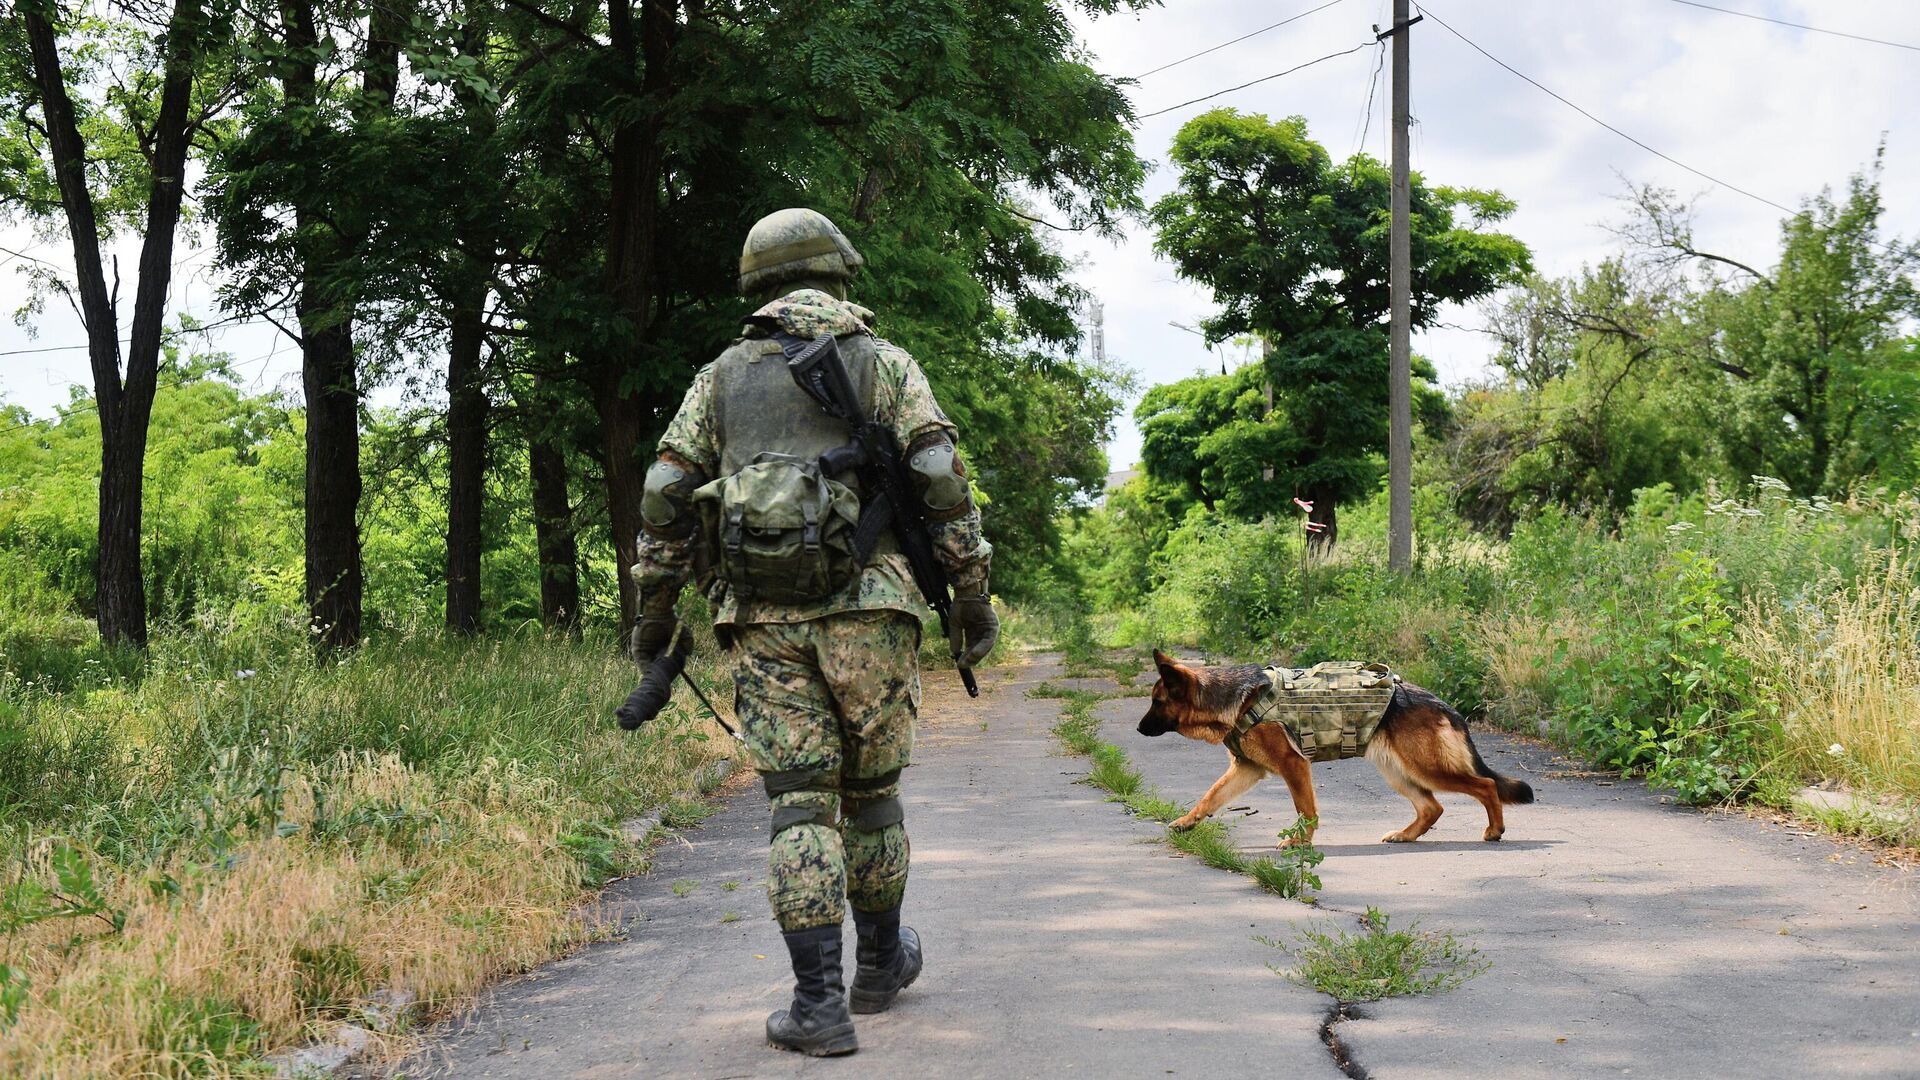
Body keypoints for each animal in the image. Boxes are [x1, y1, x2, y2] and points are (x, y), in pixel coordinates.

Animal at [1136, 645, 1528, 841]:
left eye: (1156, 702)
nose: (1138, 729)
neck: (1236, 699)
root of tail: (1443, 704)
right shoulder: (1247, 770)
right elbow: (1210, 797)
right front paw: (1187, 822)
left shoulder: (1294, 766)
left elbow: (1305, 811)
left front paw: (1300, 843)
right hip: (1398, 772)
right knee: (1433, 807)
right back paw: (1405, 835)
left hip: (1427, 768)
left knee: (1486, 785)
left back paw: (1494, 830)